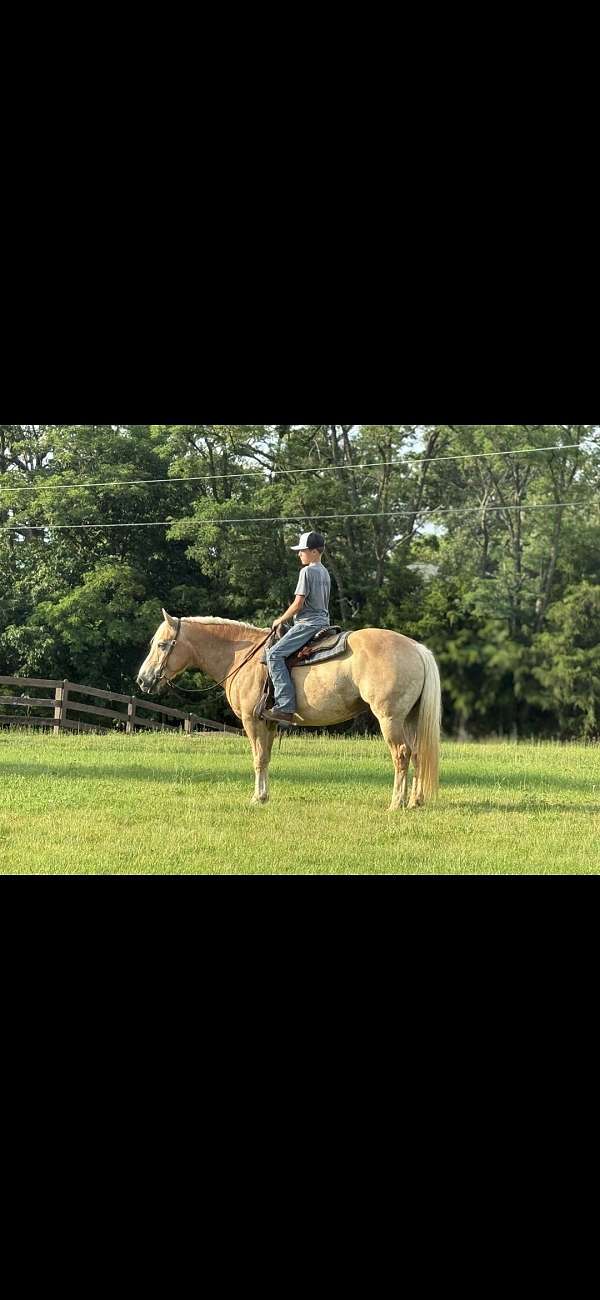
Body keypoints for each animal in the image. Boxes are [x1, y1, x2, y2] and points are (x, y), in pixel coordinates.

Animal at [136, 611, 442, 810]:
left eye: (162, 644)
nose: (143, 680)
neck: (243, 656)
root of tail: (416, 648)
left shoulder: (252, 721)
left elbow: (257, 759)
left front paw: (256, 798)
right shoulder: (268, 723)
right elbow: (267, 758)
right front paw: (264, 796)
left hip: (389, 719)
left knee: (401, 755)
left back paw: (396, 803)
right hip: (410, 719)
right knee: (417, 754)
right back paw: (415, 801)